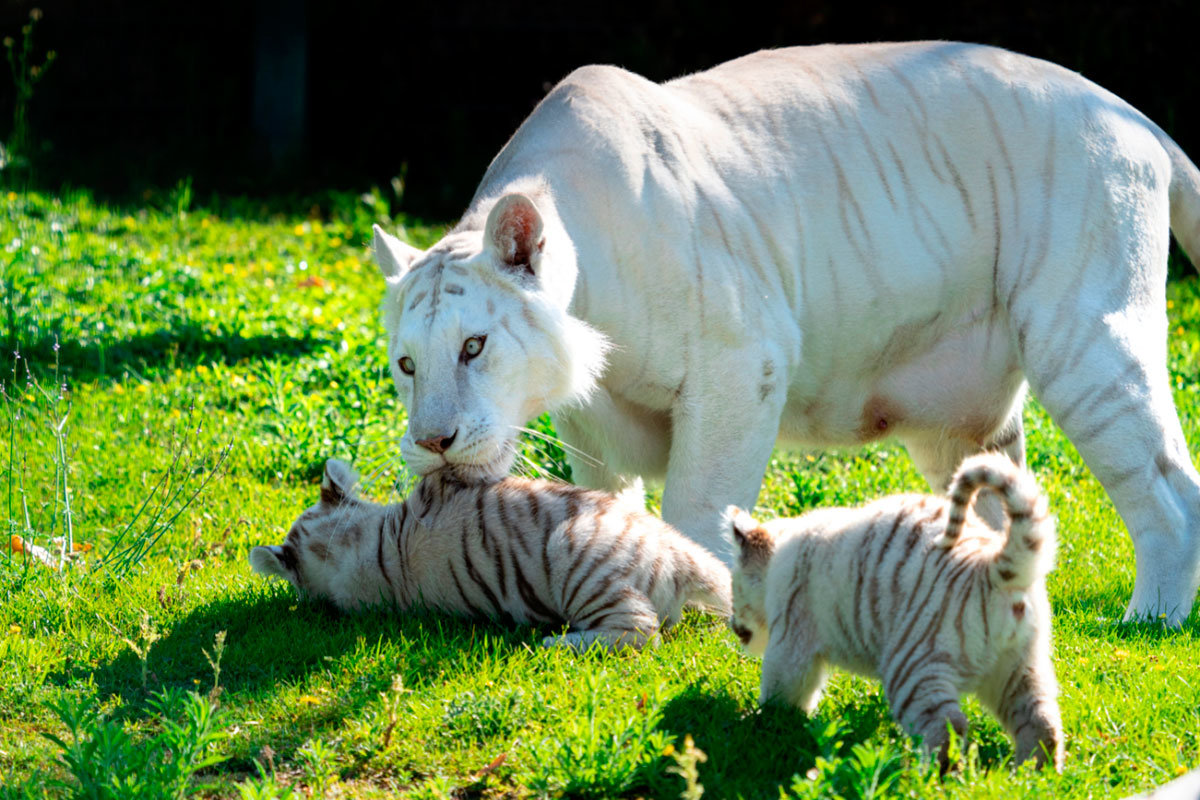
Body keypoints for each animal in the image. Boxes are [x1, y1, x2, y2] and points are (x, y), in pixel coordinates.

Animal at [371, 41, 1200, 625]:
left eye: (474, 346)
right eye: (407, 365)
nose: (435, 442)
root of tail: (1135, 118)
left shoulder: (740, 369)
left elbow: (696, 506)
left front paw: (701, 607)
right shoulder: (591, 422)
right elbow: (600, 504)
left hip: (1085, 339)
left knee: (1170, 492)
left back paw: (1149, 617)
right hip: (959, 425)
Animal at [726, 453, 1063, 771]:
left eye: (733, 586)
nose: (731, 624)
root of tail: (992, 568)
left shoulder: (791, 641)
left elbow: (781, 693)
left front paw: (758, 722)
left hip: (911, 667)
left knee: (948, 727)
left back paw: (929, 778)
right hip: (1019, 668)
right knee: (1042, 721)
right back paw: (1033, 776)